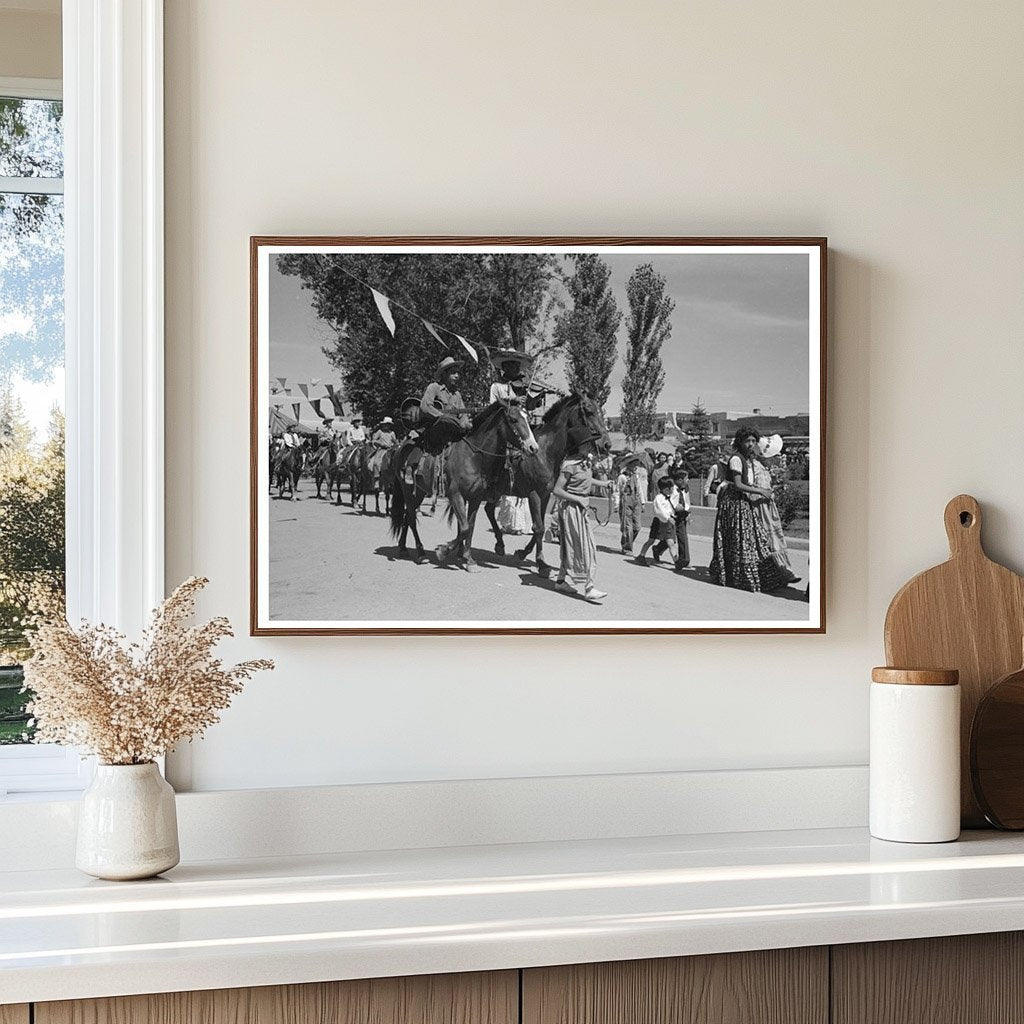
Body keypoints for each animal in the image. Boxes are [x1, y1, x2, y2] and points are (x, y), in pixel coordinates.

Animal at [387, 399, 540, 565]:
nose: (533, 447)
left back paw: (403, 548)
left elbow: (470, 527)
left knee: (407, 517)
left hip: (419, 492)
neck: (473, 456)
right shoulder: (455, 494)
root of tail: (399, 448)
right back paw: (420, 552)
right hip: (409, 492)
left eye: (528, 419)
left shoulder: (475, 498)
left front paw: (468, 558)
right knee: (411, 518)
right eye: (513, 419)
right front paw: (444, 551)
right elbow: (465, 528)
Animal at [477, 393, 606, 577]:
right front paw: (541, 563)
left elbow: (540, 526)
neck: (545, 453)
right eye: (589, 412)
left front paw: (523, 553)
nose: (606, 444)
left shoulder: (545, 495)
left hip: (498, 491)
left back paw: (500, 544)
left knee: (488, 509)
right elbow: (538, 527)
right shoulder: (534, 495)